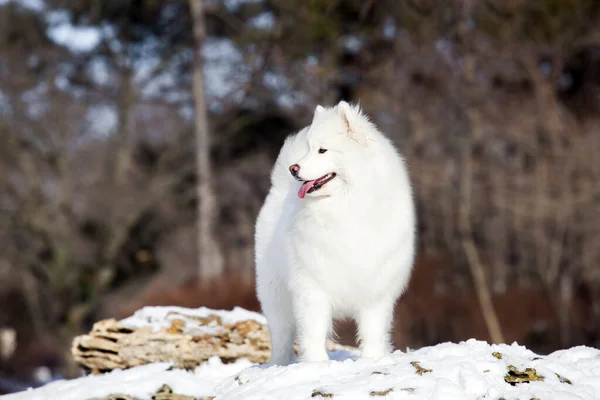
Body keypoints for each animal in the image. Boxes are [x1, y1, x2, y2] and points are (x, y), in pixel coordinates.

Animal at [254, 101, 418, 366]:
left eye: (322, 150)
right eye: (309, 149)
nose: (293, 168)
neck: (345, 208)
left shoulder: (376, 288)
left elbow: (373, 330)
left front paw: (372, 359)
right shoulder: (312, 286)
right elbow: (314, 330)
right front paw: (317, 364)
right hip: (274, 294)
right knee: (281, 335)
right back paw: (278, 364)